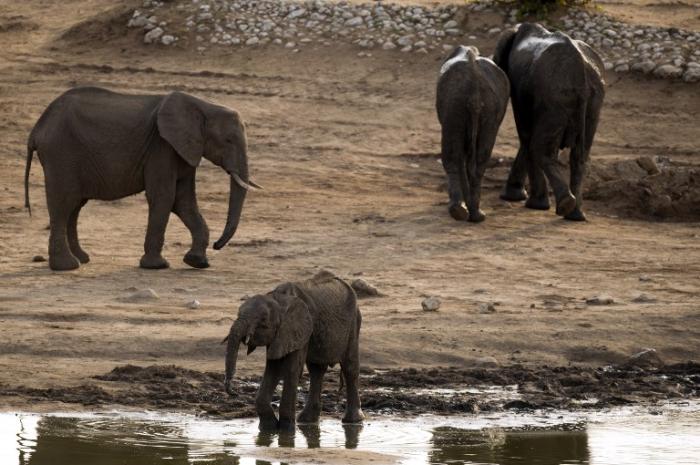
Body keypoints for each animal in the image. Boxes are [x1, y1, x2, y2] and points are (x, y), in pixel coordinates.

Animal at [24, 85, 262, 270]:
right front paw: (157, 266)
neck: (203, 106)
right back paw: (67, 266)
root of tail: (36, 129)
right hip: (61, 154)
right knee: (63, 204)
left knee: (74, 207)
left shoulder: (184, 150)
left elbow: (183, 201)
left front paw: (197, 262)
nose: (217, 246)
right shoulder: (162, 147)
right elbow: (165, 197)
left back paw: (82, 259)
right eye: (228, 140)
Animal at [224, 270, 366, 430]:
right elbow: (273, 368)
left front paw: (287, 430)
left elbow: (291, 369)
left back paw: (353, 420)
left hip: (353, 323)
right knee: (316, 370)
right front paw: (269, 427)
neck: (278, 298)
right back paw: (306, 421)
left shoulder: (301, 327)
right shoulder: (281, 334)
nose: (233, 391)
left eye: (263, 321)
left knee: (349, 367)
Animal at [438, 45, 508, 223]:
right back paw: (473, 215)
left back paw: (463, 212)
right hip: (471, 105)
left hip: (457, 103)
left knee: (455, 156)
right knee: (479, 157)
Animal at [494, 20, 604, 218]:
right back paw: (575, 215)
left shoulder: (522, 89)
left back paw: (566, 205)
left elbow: (526, 134)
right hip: (592, 102)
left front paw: (526, 202)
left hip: (555, 98)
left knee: (538, 147)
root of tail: (582, 75)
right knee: (580, 155)